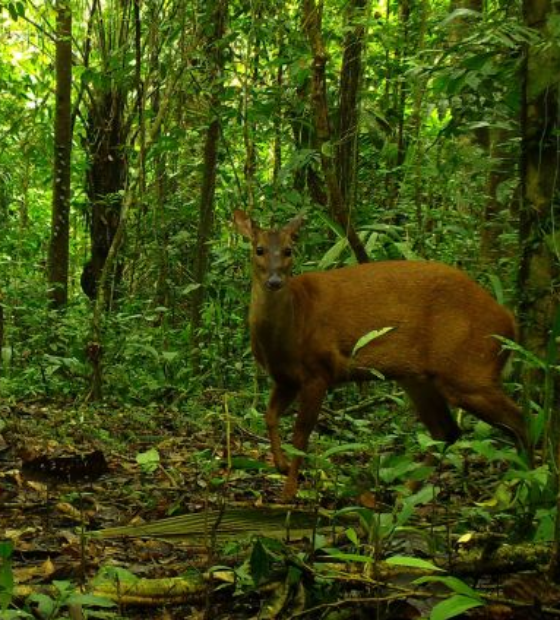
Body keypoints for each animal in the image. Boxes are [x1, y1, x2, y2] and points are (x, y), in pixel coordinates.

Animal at [233, 209, 528, 498]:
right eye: (259, 249)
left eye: (288, 250)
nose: (274, 281)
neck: (291, 328)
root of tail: (509, 322)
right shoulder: (286, 379)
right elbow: (270, 416)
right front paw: (281, 466)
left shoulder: (320, 370)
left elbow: (301, 436)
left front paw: (289, 493)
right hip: (419, 378)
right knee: (447, 430)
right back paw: (405, 494)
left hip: (468, 370)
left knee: (519, 419)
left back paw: (522, 488)